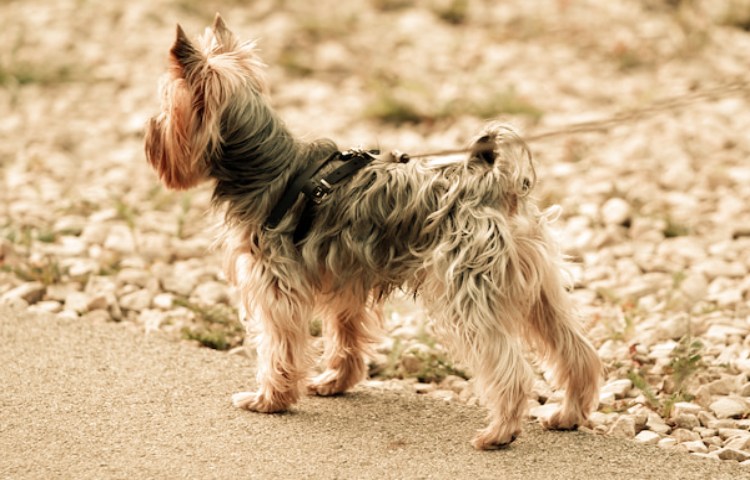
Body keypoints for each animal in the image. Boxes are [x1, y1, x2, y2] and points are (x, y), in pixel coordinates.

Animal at [145, 15, 604, 450]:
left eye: (167, 107)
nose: (149, 132)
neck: (265, 168)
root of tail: (494, 183)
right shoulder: (345, 279)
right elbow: (345, 334)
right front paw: (336, 381)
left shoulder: (275, 287)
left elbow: (280, 346)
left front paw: (270, 399)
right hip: (538, 287)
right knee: (576, 349)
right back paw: (567, 413)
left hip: (467, 292)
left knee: (510, 367)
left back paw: (499, 432)